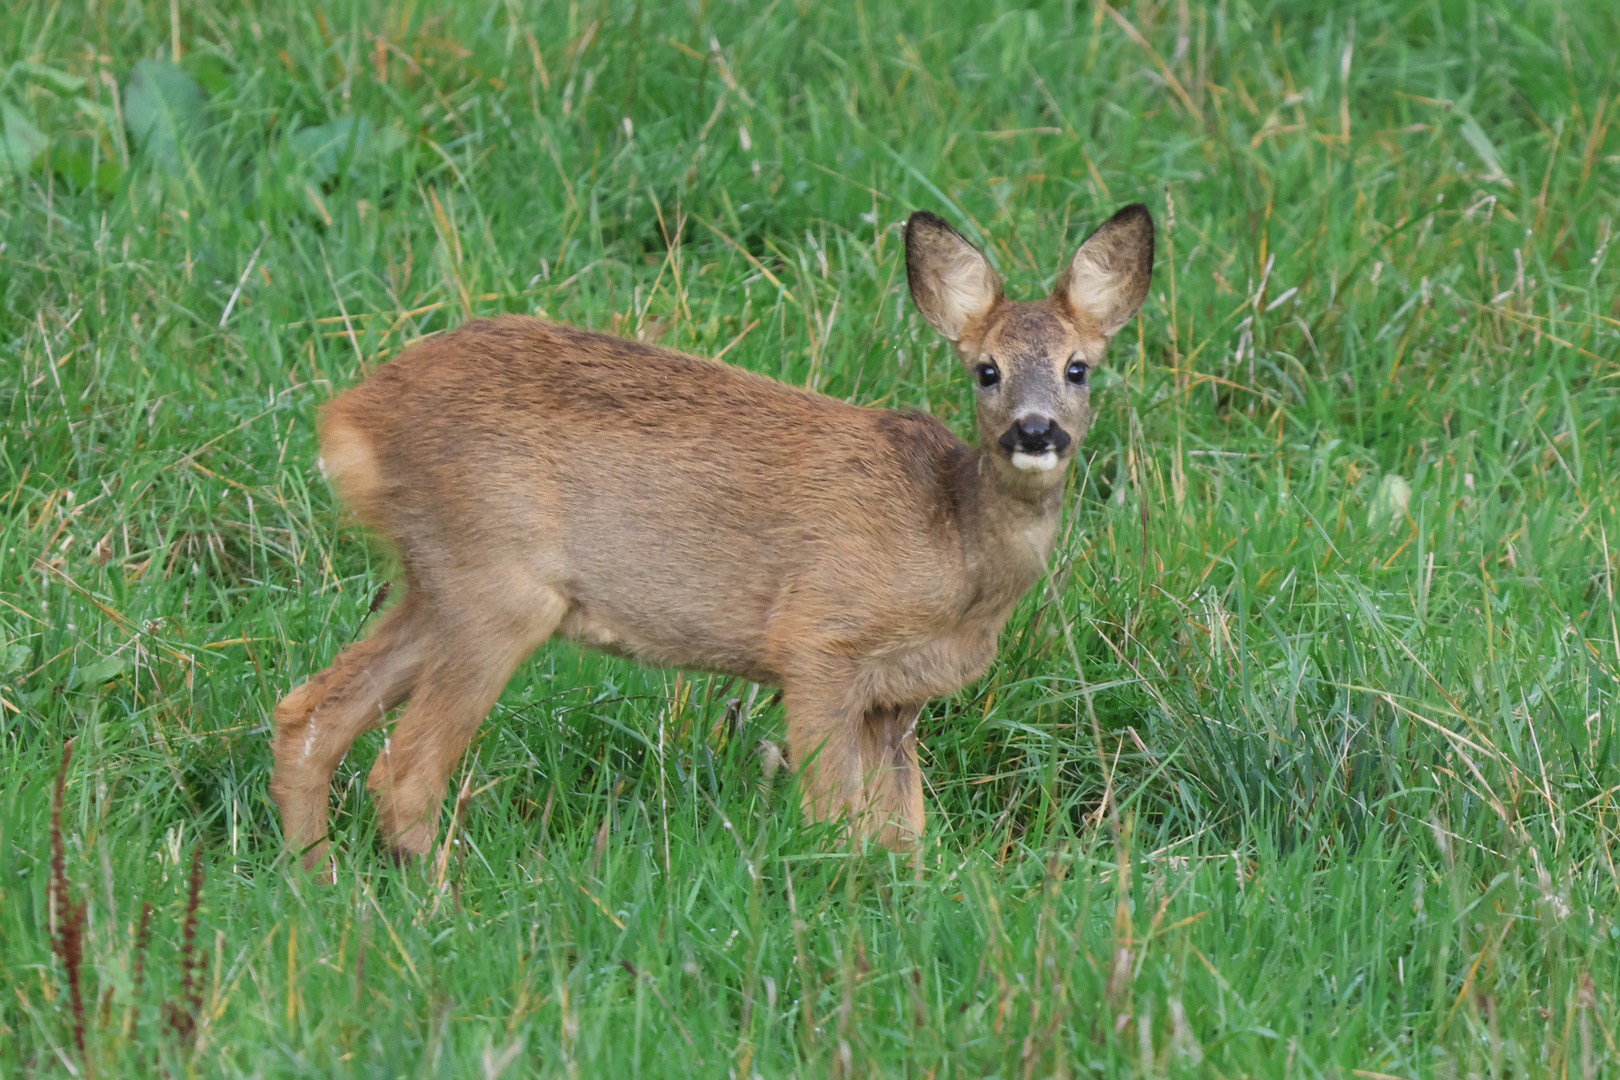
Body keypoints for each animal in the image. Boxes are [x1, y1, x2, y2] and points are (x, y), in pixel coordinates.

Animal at [275, 202, 1153, 867]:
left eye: (1078, 368)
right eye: (986, 370)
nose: (1034, 432)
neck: (955, 540)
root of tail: (351, 418)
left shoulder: (896, 697)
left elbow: (902, 831)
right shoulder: (819, 638)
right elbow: (833, 815)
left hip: (435, 582)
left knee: (307, 716)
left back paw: (317, 880)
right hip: (493, 585)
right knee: (402, 769)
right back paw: (437, 900)